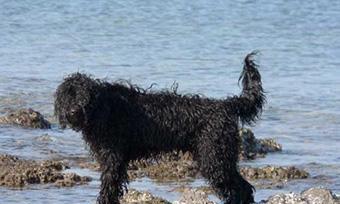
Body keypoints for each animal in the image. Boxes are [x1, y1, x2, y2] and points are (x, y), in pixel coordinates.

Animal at [54, 52, 264, 204]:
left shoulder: (113, 159)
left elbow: (109, 186)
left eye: (84, 96)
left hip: (214, 157)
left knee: (241, 188)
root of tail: (225, 105)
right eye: (67, 96)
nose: (73, 112)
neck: (104, 108)